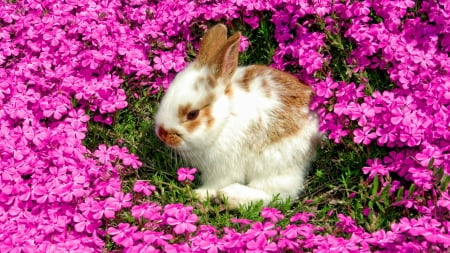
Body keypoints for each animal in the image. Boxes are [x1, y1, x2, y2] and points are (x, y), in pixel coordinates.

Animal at [155, 23, 320, 209]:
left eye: (192, 114)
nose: (161, 134)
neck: (225, 119)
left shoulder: (222, 170)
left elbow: (215, 184)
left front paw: (199, 194)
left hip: (275, 166)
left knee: (277, 196)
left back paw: (230, 196)